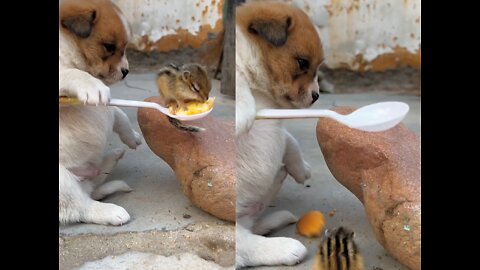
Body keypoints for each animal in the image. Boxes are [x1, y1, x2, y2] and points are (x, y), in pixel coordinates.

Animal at [59, 0, 142, 225]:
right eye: (109, 47)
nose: (126, 72)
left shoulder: (109, 108)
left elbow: (119, 115)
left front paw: (132, 137)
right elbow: (70, 73)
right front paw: (91, 85)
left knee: (92, 187)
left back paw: (113, 157)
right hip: (62, 181)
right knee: (80, 207)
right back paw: (111, 212)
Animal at [235, 1, 322, 268]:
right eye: (302, 62)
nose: (316, 96)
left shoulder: (275, 125)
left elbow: (290, 141)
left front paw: (302, 168)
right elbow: (239, 85)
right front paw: (243, 112)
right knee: (246, 247)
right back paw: (287, 248)